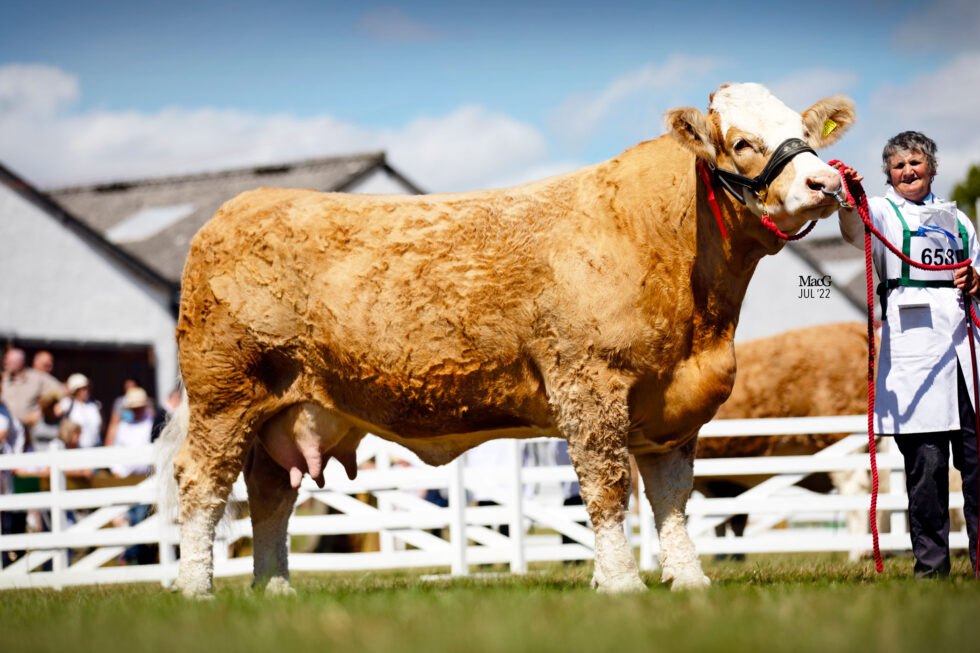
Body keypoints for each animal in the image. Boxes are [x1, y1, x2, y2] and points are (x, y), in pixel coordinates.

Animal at [159, 81, 848, 596]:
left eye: (807, 132)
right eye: (742, 142)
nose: (827, 183)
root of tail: (237, 207)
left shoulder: (672, 408)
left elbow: (671, 499)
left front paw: (689, 582)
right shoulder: (589, 387)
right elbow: (607, 488)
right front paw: (623, 585)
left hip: (288, 408)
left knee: (270, 492)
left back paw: (274, 589)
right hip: (225, 396)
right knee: (202, 483)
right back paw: (197, 590)